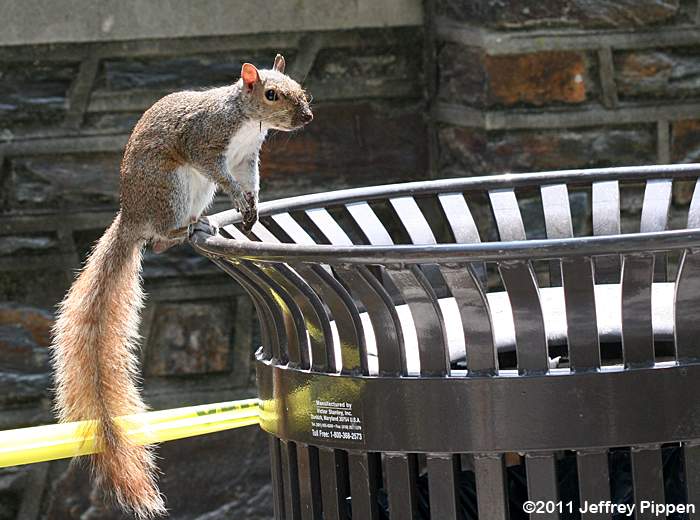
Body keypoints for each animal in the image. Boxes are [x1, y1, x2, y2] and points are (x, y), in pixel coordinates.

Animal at [49, 54, 312, 518]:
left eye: (299, 89)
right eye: (271, 94)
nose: (307, 117)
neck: (245, 121)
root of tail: (132, 216)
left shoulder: (247, 158)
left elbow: (250, 179)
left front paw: (252, 206)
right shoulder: (205, 143)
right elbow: (222, 173)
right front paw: (238, 199)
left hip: (192, 191)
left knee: (157, 241)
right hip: (173, 185)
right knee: (160, 236)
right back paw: (187, 227)